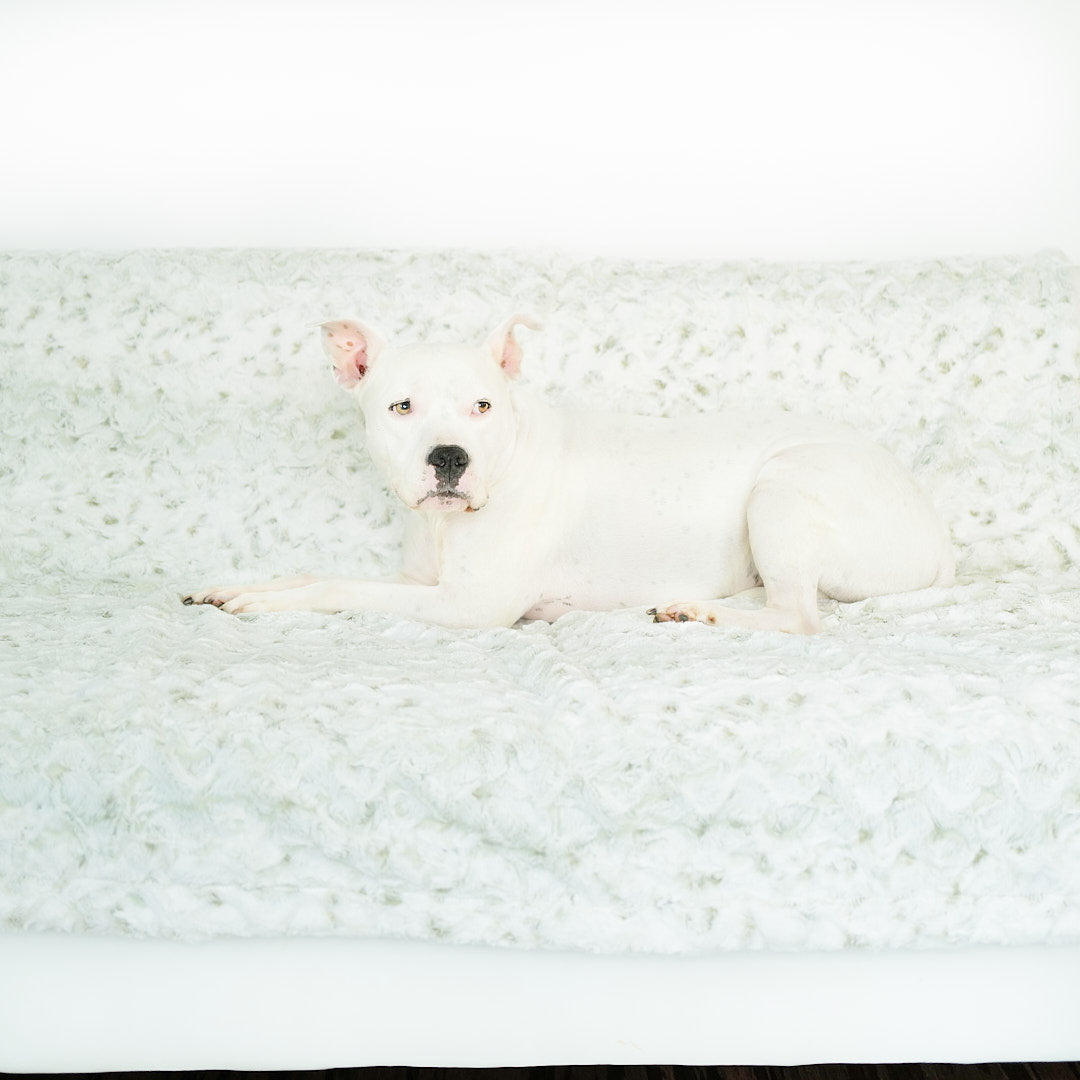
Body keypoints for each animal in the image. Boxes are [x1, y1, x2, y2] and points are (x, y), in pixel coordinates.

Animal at [185, 315, 954, 630]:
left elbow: (337, 586)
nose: (450, 457)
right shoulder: (422, 581)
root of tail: (933, 529)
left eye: (483, 405)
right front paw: (235, 587)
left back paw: (702, 611)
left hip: (783, 487)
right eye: (401, 407)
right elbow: (310, 570)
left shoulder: (467, 606)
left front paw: (266, 604)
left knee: (799, 618)